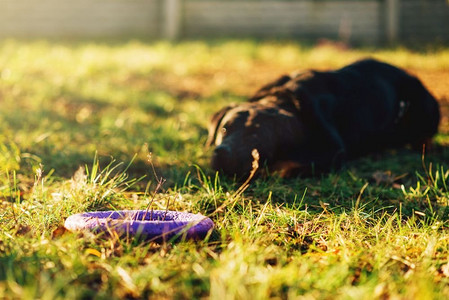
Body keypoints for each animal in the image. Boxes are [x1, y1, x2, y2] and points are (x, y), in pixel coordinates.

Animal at [208, 58, 440, 178]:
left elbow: (287, 164)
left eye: (255, 136)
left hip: (424, 105)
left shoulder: (333, 150)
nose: (221, 151)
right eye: (224, 129)